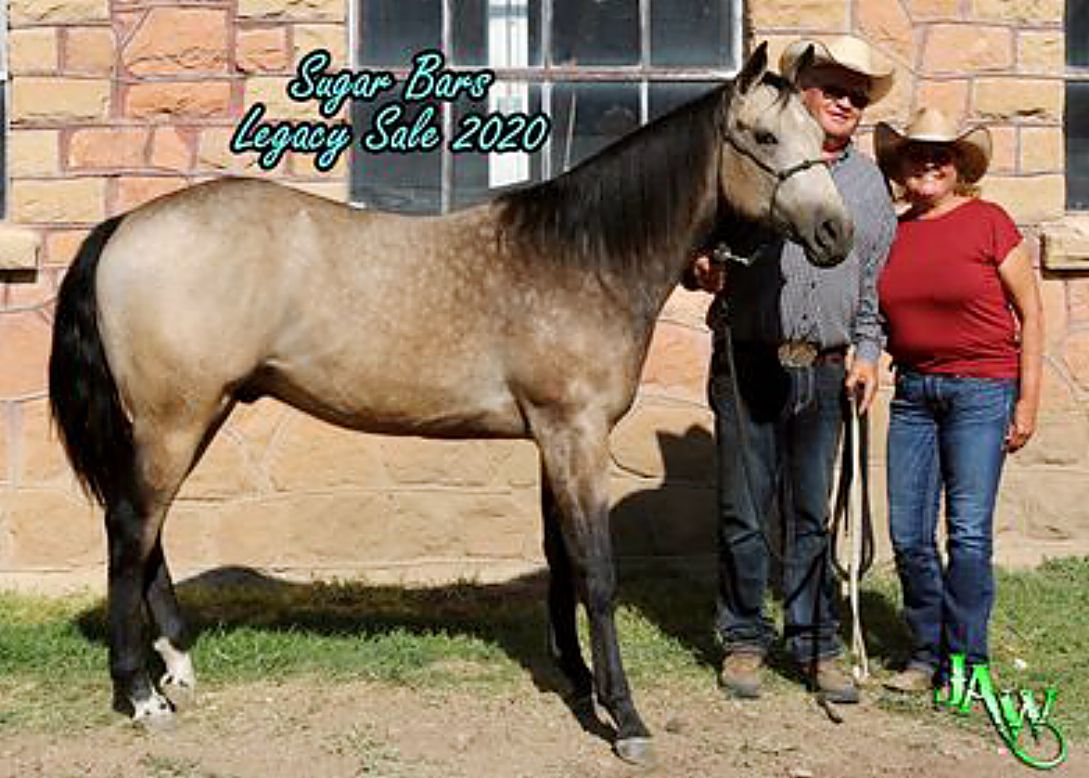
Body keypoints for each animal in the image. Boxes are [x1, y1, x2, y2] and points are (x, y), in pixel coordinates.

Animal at [48, 43, 850, 765]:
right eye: (766, 137)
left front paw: (578, 678)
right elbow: (596, 572)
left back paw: (178, 666)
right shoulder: (577, 434)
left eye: (821, 139)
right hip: (174, 419)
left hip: (190, 416)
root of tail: (123, 228)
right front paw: (623, 717)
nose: (835, 234)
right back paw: (140, 693)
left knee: (146, 534)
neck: (585, 256)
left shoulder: (552, 438)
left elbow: (560, 560)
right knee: (130, 530)